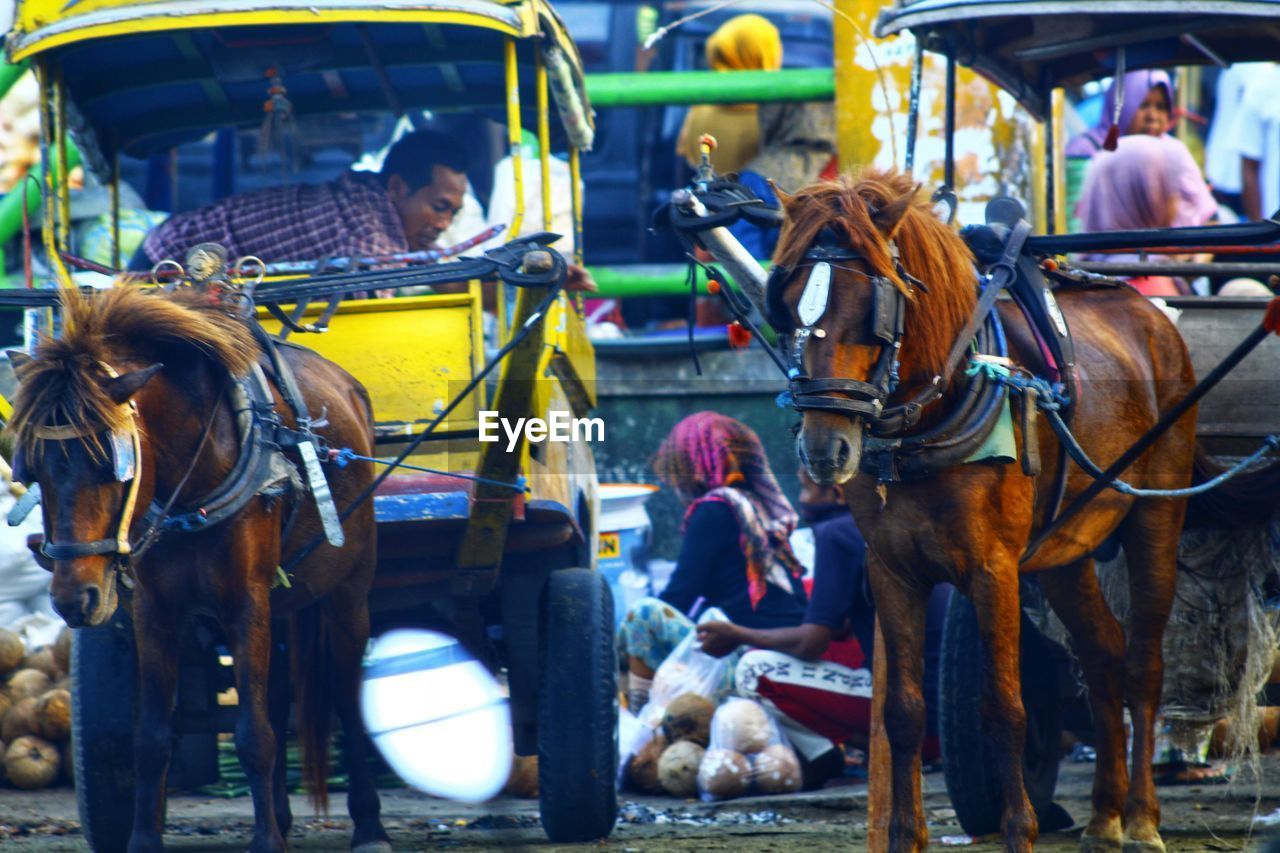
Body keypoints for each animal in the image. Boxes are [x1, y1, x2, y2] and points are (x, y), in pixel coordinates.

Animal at [7, 286, 386, 850]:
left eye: (111, 464)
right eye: (31, 468)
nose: (76, 599)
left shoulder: (246, 602)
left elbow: (253, 735)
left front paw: (266, 842)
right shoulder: (153, 611)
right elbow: (150, 738)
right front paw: (144, 840)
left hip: (349, 589)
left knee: (344, 693)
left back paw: (368, 823)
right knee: (275, 699)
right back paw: (282, 815)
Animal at [768, 169, 1198, 845]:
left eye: (871, 309)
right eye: (785, 304)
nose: (823, 448)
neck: (929, 416)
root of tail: (1149, 314)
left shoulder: (994, 570)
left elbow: (1004, 709)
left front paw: (1018, 830)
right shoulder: (892, 570)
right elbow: (903, 712)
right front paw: (905, 837)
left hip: (1156, 516)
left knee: (1141, 665)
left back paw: (1141, 819)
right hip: (1064, 549)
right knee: (1103, 656)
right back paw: (1104, 817)